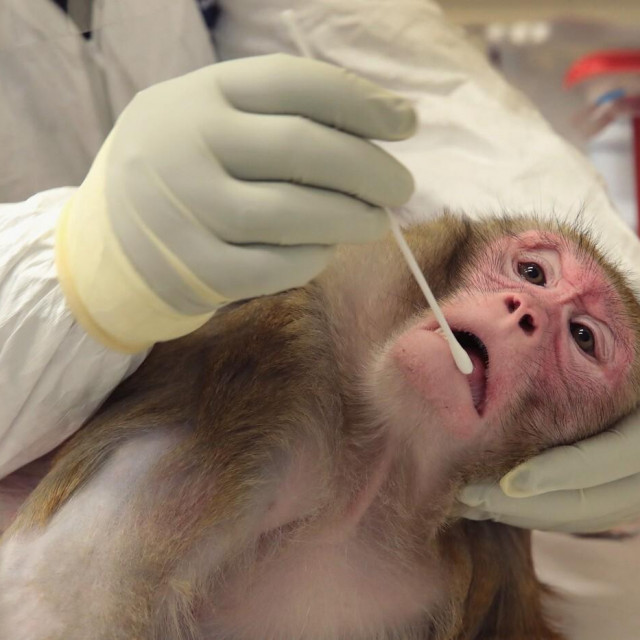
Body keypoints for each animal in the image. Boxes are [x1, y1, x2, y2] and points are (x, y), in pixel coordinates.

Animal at [1, 215, 640, 640]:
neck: (378, 467)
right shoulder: (280, 378)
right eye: (532, 272)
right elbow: (55, 605)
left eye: (582, 337)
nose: (524, 312)